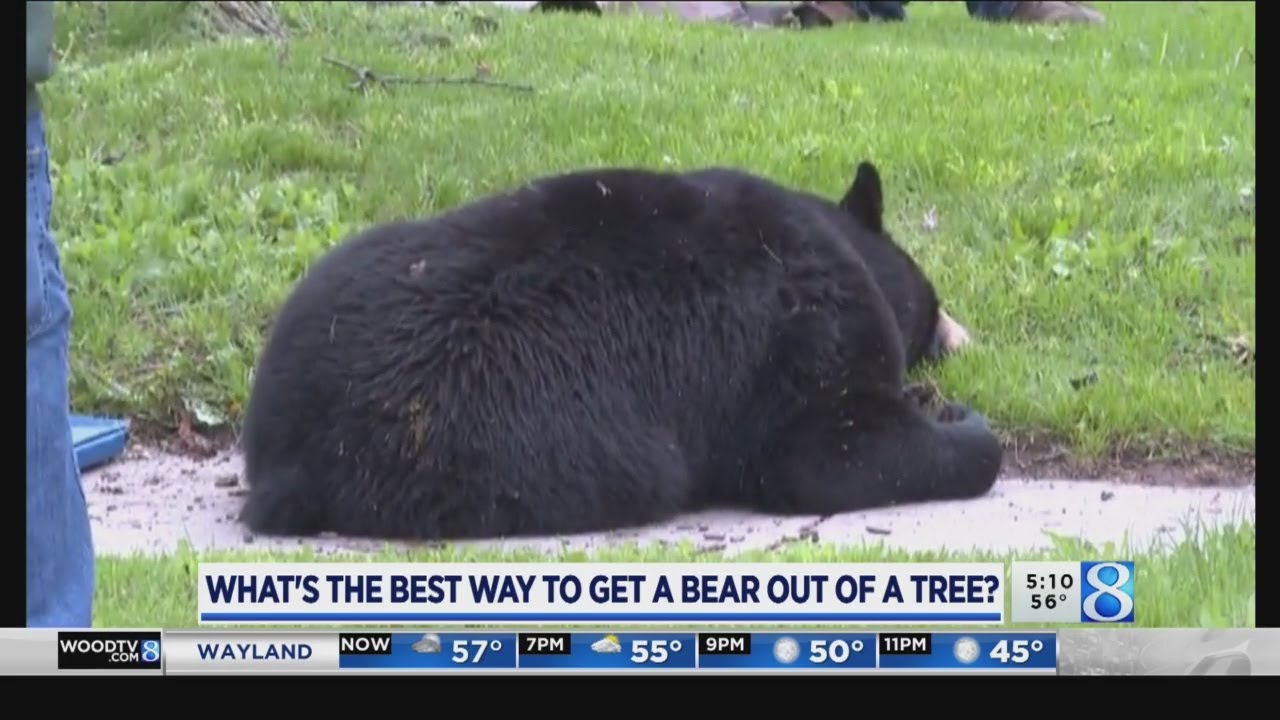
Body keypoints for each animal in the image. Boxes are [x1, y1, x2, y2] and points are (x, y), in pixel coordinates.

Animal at [237, 160, 1003, 541]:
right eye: (933, 299)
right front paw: (957, 420)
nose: (954, 334)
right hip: (520, 437)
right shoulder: (806, 327)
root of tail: (290, 458)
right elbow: (827, 452)